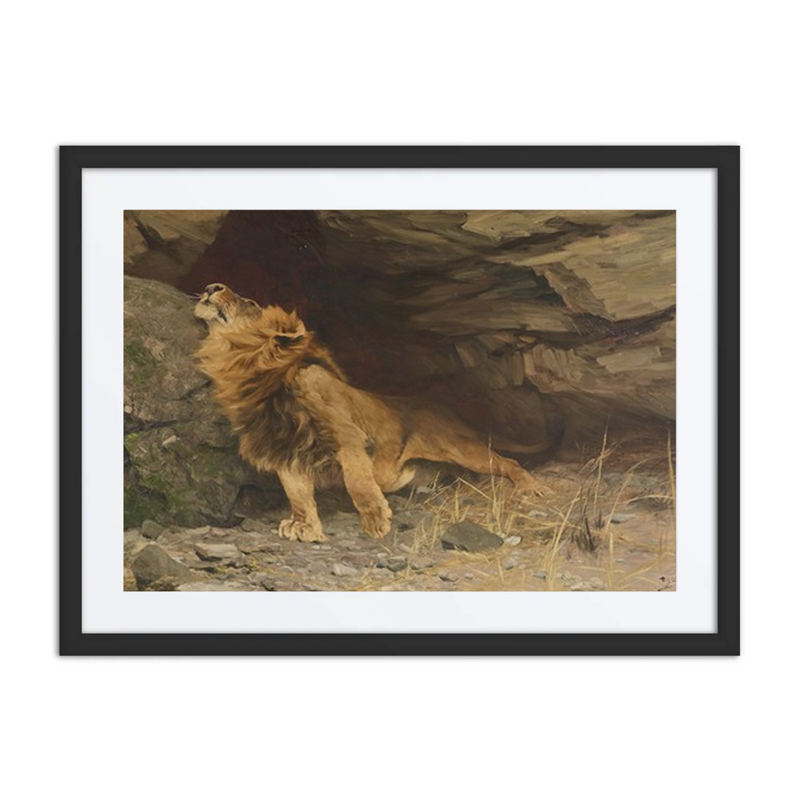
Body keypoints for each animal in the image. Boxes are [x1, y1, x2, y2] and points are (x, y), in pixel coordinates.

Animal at [195, 283, 551, 542]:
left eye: (249, 302)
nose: (211, 286)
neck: (249, 373)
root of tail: (441, 404)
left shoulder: (347, 436)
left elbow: (357, 482)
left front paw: (376, 519)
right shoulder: (284, 452)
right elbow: (298, 495)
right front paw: (304, 527)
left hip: (458, 447)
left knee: (507, 462)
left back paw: (531, 486)